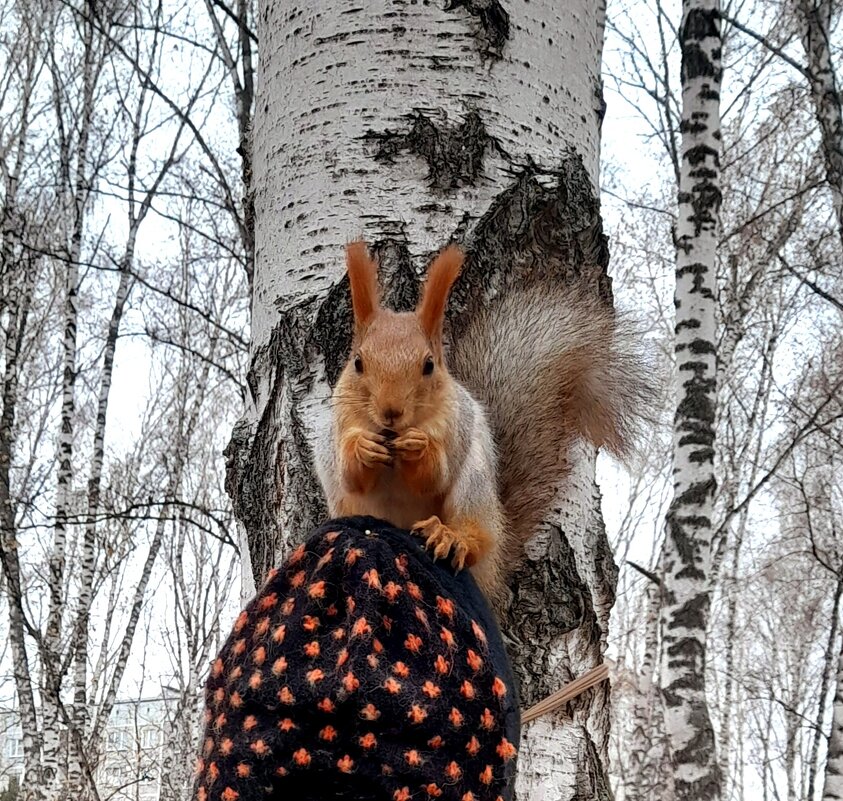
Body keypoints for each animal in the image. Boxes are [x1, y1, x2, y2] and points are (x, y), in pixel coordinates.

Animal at [316, 241, 652, 604]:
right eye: (358, 363)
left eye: (429, 365)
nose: (391, 411)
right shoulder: (340, 426)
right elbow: (351, 475)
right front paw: (363, 448)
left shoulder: (455, 426)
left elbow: (432, 477)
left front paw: (419, 447)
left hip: (474, 486)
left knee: (477, 535)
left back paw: (452, 537)